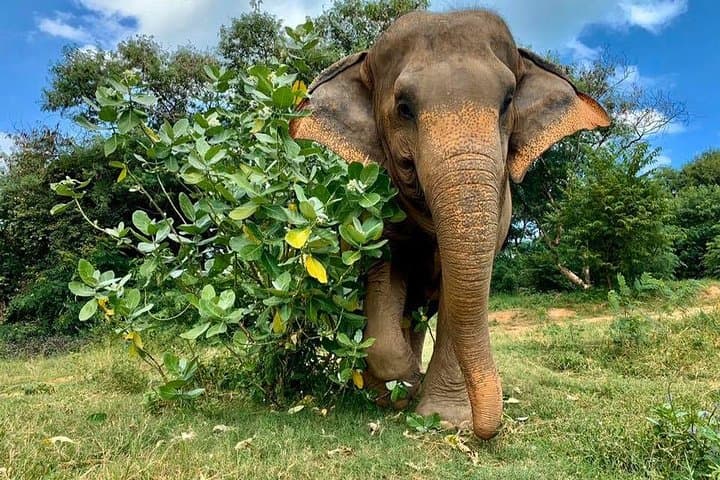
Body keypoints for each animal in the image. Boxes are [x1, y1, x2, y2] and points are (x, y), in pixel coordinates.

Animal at [290, 9, 610, 439]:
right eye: (404, 107)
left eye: (507, 102)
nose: (486, 431)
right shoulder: (374, 205)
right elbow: (385, 271)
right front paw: (404, 384)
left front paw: (443, 417)